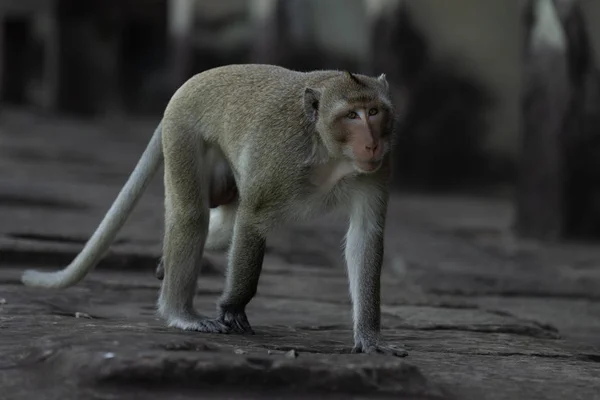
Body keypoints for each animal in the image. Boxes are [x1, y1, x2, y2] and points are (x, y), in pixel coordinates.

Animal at [21, 63, 406, 356]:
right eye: (351, 115)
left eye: (375, 111)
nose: (372, 142)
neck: (327, 151)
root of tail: (195, 80)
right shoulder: (280, 161)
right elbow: (253, 219)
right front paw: (233, 306)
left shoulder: (378, 170)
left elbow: (365, 237)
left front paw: (370, 338)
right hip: (183, 132)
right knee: (193, 217)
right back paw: (180, 313)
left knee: (222, 230)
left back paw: (165, 263)